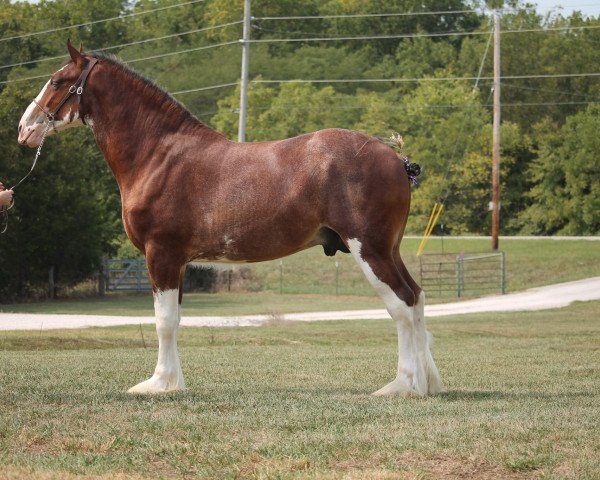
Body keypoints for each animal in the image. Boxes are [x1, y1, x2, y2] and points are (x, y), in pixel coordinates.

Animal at [18, 41, 442, 396]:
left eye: (57, 81)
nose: (23, 129)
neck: (159, 155)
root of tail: (396, 159)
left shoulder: (162, 254)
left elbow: (163, 321)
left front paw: (158, 384)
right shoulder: (178, 261)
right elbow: (175, 319)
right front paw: (173, 384)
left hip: (369, 248)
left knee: (401, 304)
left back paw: (401, 386)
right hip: (389, 249)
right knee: (417, 298)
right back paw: (428, 383)